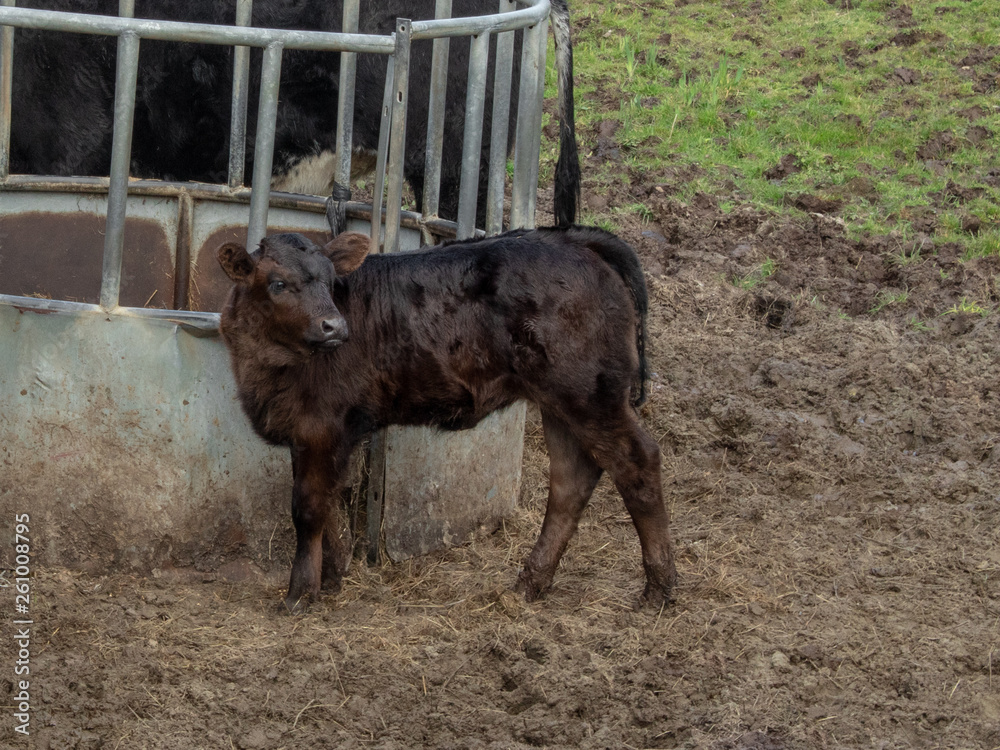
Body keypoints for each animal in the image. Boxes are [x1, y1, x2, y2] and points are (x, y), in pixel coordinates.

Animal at [216, 227, 677, 612]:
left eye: (330, 283)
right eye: (277, 283)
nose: (334, 326)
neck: (267, 364)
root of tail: (572, 239)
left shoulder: (322, 426)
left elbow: (308, 508)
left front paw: (299, 594)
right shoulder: (309, 433)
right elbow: (327, 505)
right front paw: (328, 582)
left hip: (589, 392)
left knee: (637, 461)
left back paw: (658, 589)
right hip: (559, 401)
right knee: (571, 479)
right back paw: (529, 584)